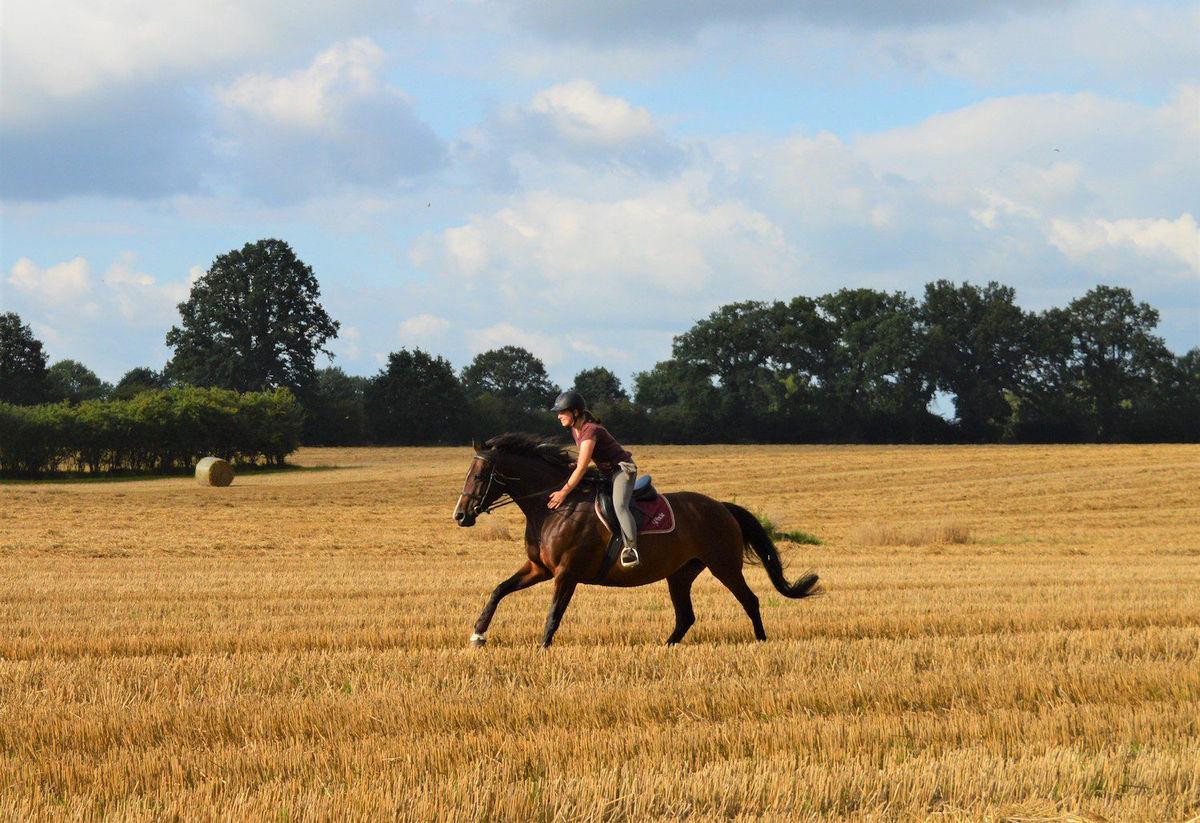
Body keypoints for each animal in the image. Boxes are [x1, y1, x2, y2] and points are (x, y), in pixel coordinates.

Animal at [453, 431, 820, 652]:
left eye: (479, 475)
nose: (460, 515)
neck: (552, 507)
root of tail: (721, 506)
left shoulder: (566, 573)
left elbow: (554, 613)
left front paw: (543, 648)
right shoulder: (538, 567)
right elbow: (499, 590)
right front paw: (478, 634)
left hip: (724, 565)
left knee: (750, 600)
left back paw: (761, 642)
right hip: (681, 573)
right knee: (686, 616)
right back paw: (665, 647)